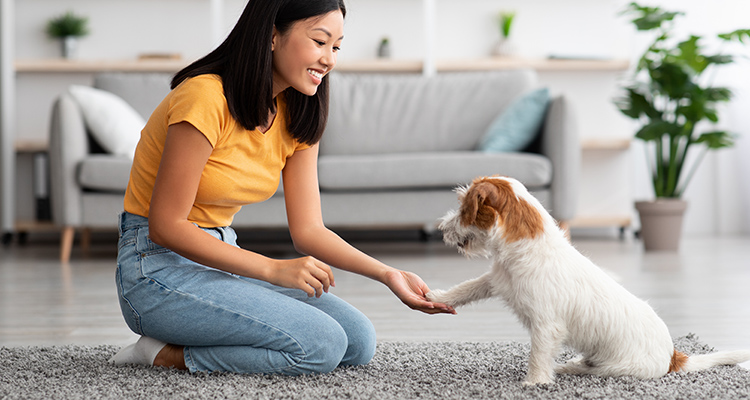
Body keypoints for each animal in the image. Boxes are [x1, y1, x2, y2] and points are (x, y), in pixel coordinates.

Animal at [428, 177, 750, 386]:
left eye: (463, 208)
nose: (440, 228)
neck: (530, 245)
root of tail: (674, 355)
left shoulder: (546, 325)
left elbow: (537, 355)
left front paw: (534, 384)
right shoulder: (495, 280)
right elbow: (467, 288)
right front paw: (437, 298)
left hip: (615, 368)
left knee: (590, 371)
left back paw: (566, 367)